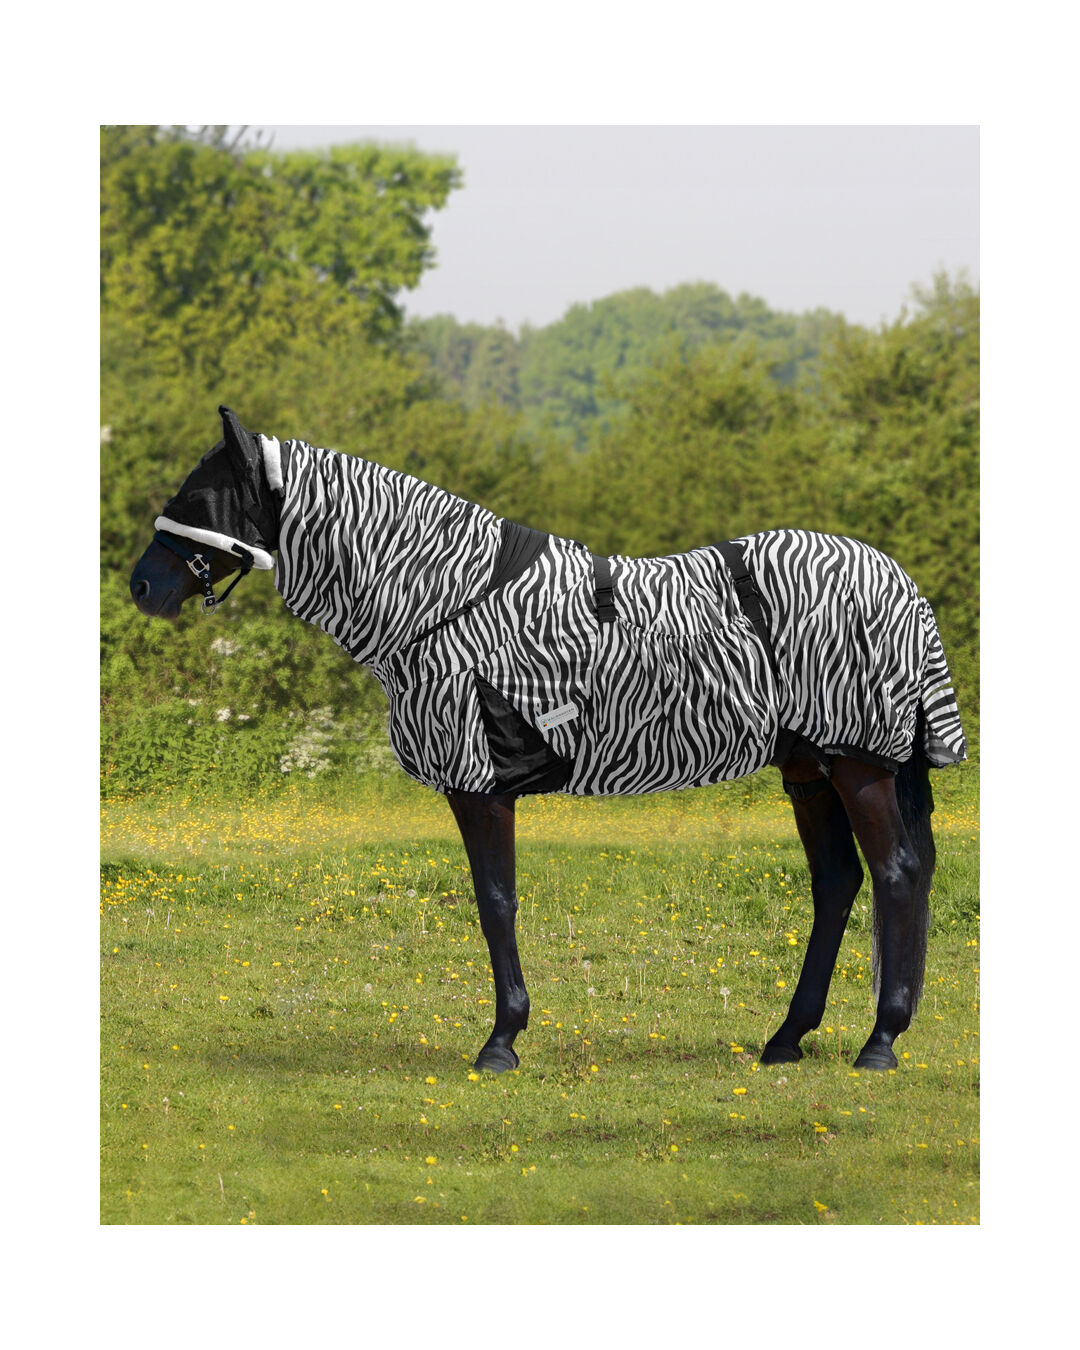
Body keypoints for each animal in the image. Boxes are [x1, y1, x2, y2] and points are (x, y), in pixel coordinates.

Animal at [130, 407, 966, 1074]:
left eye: (199, 498)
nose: (141, 586)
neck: (442, 601)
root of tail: (900, 584)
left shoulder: (479, 784)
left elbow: (495, 901)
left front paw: (501, 1041)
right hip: (809, 768)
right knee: (838, 883)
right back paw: (788, 1038)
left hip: (858, 764)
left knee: (895, 874)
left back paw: (880, 1043)